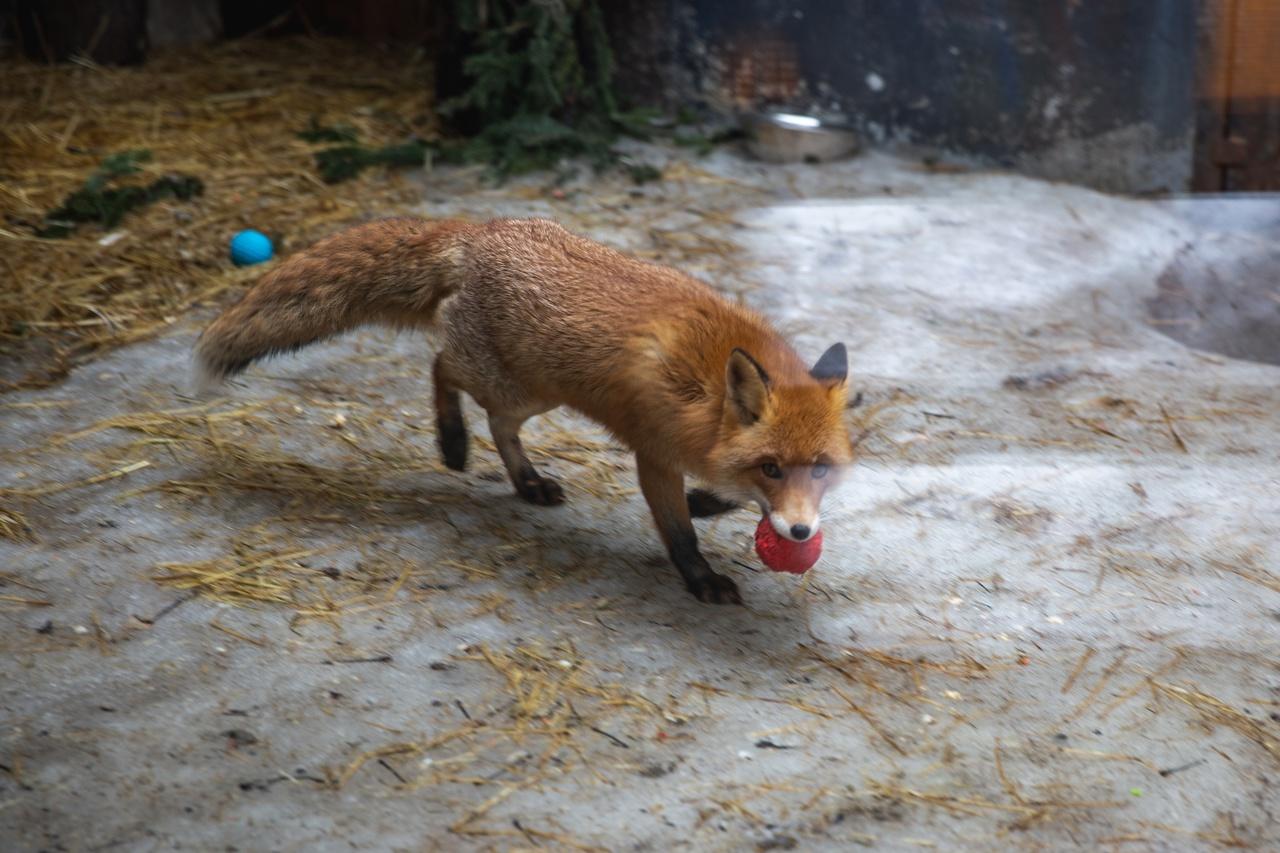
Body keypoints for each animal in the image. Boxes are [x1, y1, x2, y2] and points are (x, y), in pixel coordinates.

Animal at [194, 219, 849, 604]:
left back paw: (525, 481)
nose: (800, 534)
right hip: (517, 383)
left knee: (496, 423)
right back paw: (452, 442)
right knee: (441, 367)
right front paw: (702, 577)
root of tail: (484, 227)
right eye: (771, 467)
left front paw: (710, 502)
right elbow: (679, 533)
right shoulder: (654, 452)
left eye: (820, 469)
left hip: (534, 390)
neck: (706, 400)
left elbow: (719, 501)